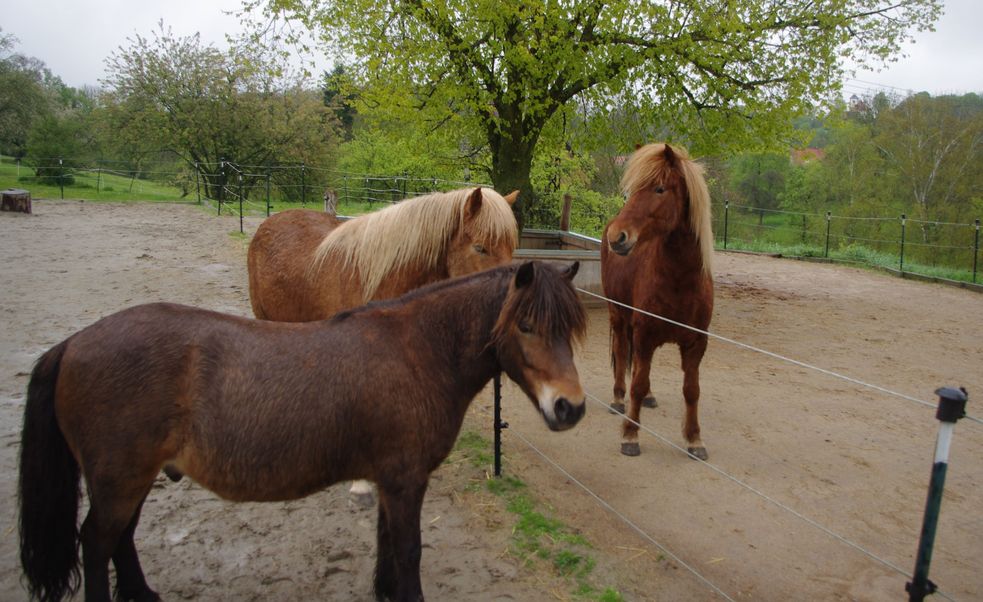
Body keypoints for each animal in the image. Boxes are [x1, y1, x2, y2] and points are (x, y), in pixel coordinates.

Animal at [17, 260, 584, 600]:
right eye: (526, 325)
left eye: (570, 329)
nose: (570, 408)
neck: (417, 351)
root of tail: (72, 343)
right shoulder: (405, 481)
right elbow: (408, 551)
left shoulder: (389, 480)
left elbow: (385, 544)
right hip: (119, 481)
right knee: (97, 543)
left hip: (130, 480)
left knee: (121, 538)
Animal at [600, 142, 716, 460]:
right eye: (632, 189)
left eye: (659, 189)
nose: (618, 237)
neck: (681, 281)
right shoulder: (645, 334)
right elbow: (637, 384)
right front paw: (630, 435)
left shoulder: (696, 343)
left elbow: (692, 390)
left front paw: (695, 440)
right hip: (618, 315)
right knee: (622, 352)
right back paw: (618, 399)